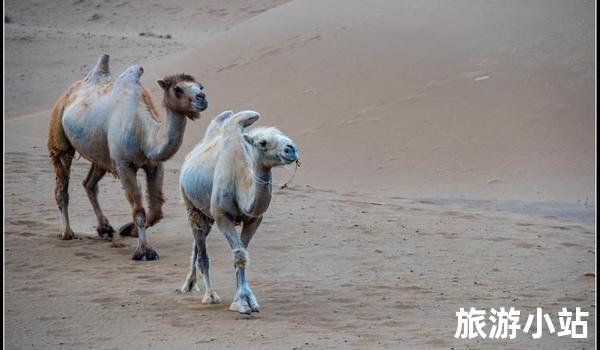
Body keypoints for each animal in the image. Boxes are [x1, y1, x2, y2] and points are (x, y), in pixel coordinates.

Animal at [47, 52, 207, 260]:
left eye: (200, 86)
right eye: (178, 89)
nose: (202, 98)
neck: (144, 134)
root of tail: (71, 91)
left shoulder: (154, 165)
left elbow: (156, 209)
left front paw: (127, 230)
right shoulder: (124, 165)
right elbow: (139, 210)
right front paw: (144, 251)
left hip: (101, 153)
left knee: (89, 184)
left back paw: (104, 228)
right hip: (58, 132)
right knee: (62, 185)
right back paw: (67, 232)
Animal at [178, 110, 300, 314]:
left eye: (282, 135)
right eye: (262, 142)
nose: (291, 148)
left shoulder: (254, 219)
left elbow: (242, 253)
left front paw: (247, 299)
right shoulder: (222, 216)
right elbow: (239, 255)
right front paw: (242, 303)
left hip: (206, 214)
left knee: (197, 243)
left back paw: (190, 284)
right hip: (190, 205)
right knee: (202, 251)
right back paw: (208, 295)